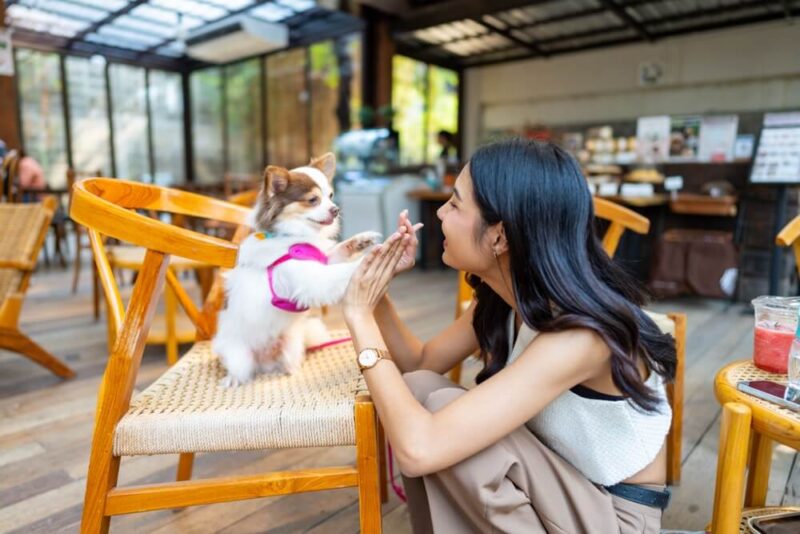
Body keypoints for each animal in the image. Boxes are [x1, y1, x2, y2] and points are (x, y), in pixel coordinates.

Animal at [214, 153, 380, 388]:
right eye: (313, 200)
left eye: (331, 196)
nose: (335, 209)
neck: (295, 235)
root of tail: (266, 361)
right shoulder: (311, 280)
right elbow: (340, 272)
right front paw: (368, 259)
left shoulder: (322, 260)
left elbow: (339, 251)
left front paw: (361, 241)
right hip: (239, 357)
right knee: (240, 369)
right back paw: (233, 380)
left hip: (291, 345)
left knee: (289, 364)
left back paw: (292, 370)